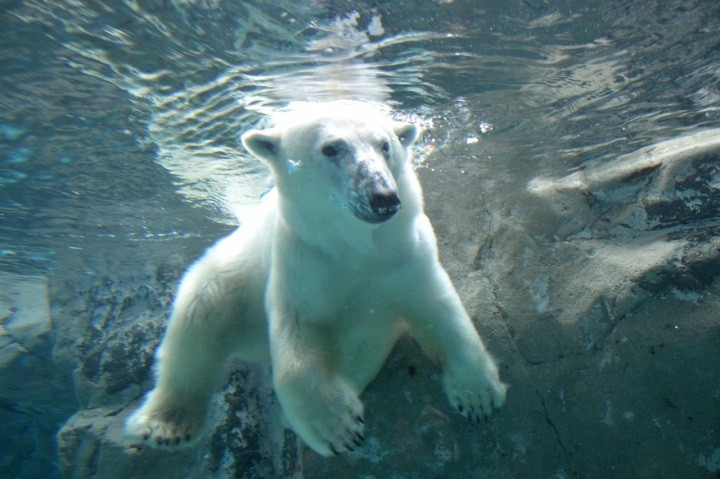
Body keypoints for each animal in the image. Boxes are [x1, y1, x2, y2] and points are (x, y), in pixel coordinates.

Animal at [125, 101, 506, 458]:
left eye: (385, 144)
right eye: (331, 148)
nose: (383, 197)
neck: (357, 249)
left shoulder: (406, 256)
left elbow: (440, 310)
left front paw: (478, 397)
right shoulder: (303, 262)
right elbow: (298, 336)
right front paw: (337, 428)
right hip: (236, 277)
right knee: (198, 319)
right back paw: (165, 425)